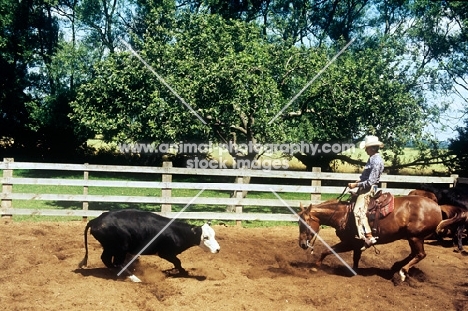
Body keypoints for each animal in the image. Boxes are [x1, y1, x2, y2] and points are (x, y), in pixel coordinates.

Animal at [78, 211, 221, 282]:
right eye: (205, 237)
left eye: (213, 235)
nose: (218, 249)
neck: (176, 232)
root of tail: (95, 220)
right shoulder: (166, 253)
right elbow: (177, 261)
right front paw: (182, 272)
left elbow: (177, 263)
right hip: (120, 248)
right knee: (116, 262)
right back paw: (133, 278)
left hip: (110, 248)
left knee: (107, 260)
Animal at [300, 196, 442, 284]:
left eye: (305, 223)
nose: (301, 244)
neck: (343, 215)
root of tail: (437, 208)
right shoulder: (356, 244)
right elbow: (355, 258)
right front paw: (354, 271)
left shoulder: (350, 242)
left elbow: (328, 250)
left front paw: (314, 268)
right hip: (412, 238)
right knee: (414, 254)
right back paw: (396, 266)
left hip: (415, 237)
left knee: (420, 254)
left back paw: (402, 272)